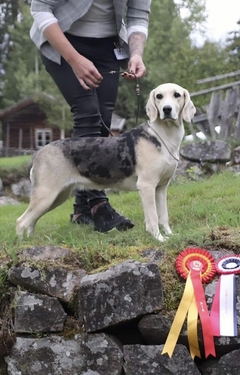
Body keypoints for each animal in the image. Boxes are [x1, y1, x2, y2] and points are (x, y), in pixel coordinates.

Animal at [15, 83, 196, 241]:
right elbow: (152, 218)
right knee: (21, 222)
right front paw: (159, 239)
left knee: (31, 221)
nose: (167, 109)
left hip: (56, 197)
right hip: (46, 196)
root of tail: (39, 153)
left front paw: (170, 235)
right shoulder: (146, 186)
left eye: (177, 95)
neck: (164, 136)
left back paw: (32, 241)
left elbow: (163, 216)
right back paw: (22, 244)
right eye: (159, 96)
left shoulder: (161, 188)